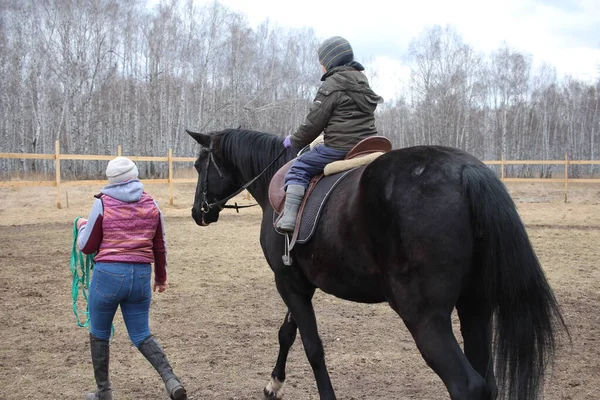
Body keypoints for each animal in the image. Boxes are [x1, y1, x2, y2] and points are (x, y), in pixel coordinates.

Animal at [188, 129, 568, 400]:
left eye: (197, 165)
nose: (197, 212)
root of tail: (466, 172)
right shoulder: (300, 282)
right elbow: (287, 333)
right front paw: (273, 385)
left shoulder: (287, 281)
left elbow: (313, 347)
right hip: (476, 309)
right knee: (487, 382)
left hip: (425, 318)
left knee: (467, 385)